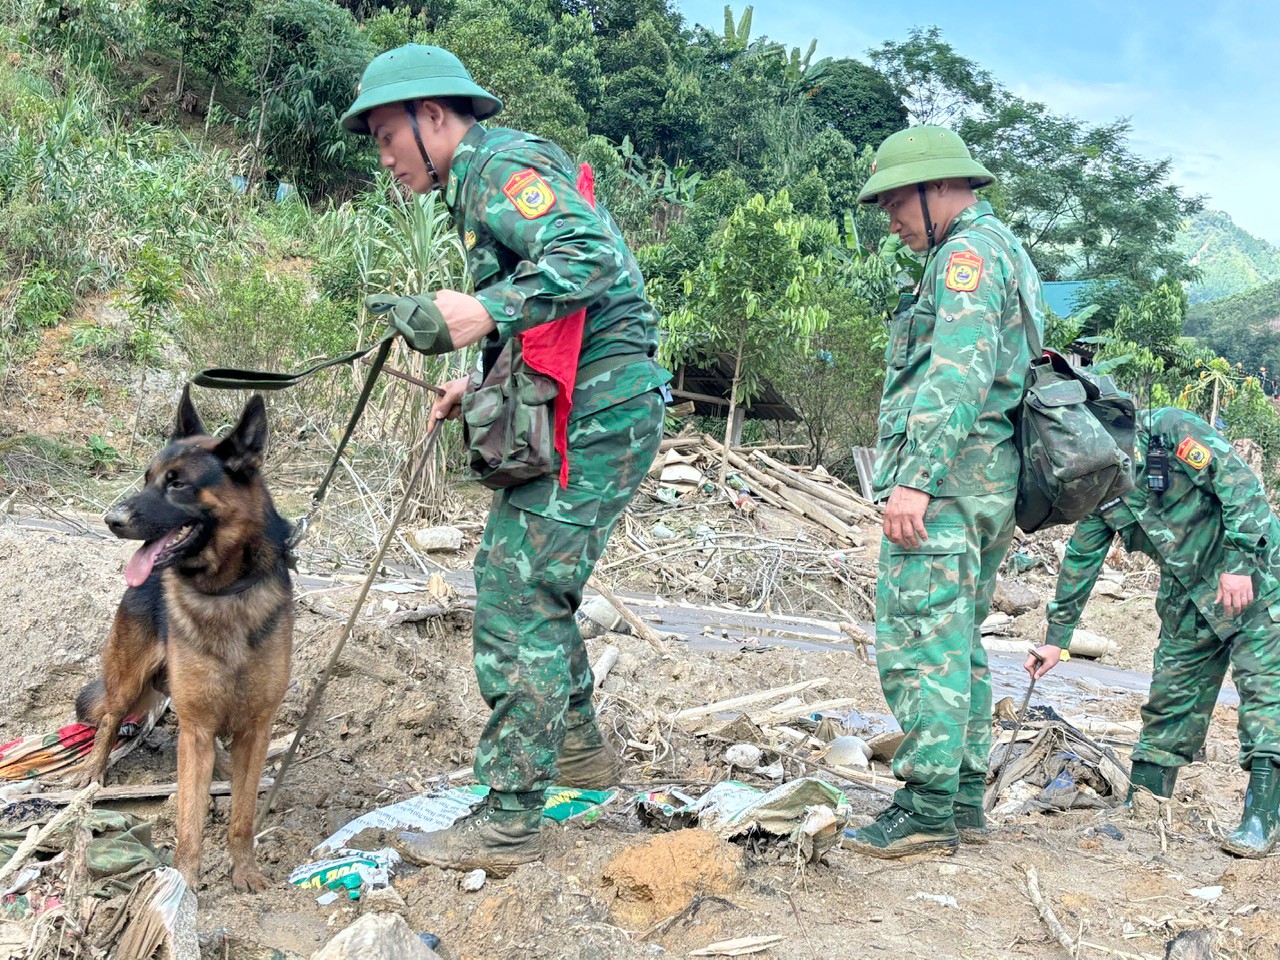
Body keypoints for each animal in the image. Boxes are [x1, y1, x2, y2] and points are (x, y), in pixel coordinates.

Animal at [76, 386, 293, 896]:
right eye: (147, 479)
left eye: (177, 484)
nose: (111, 519)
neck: (224, 593)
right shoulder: (193, 729)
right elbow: (189, 815)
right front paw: (185, 877)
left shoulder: (256, 728)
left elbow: (243, 816)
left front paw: (245, 871)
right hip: (128, 683)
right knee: (109, 720)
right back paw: (93, 774)